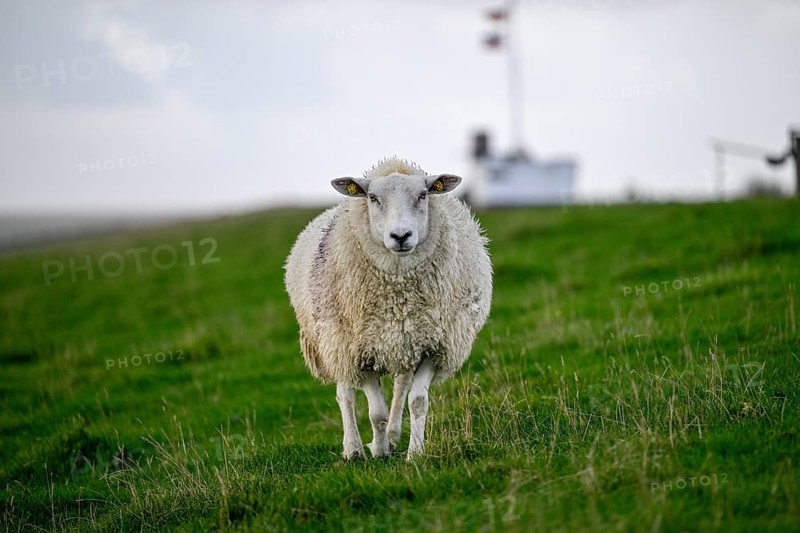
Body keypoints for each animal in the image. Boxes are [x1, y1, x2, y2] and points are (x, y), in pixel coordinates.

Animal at [284, 156, 492, 460]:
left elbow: (417, 401)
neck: (398, 293)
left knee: (400, 385)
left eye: (423, 195)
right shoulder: (361, 349)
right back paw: (354, 448)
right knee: (345, 392)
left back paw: (393, 435)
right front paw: (379, 451)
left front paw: (414, 453)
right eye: (372, 198)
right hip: (335, 340)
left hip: (403, 344)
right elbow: (376, 412)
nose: (401, 235)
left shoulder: (433, 346)